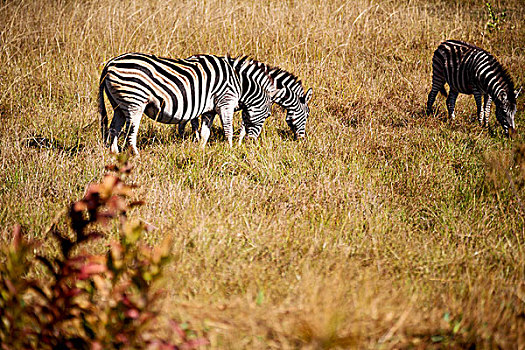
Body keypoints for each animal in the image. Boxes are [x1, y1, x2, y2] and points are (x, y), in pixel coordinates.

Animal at [99, 53, 278, 154]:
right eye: (268, 115)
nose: (251, 143)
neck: (241, 84)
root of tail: (109, 63)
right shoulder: (225, 102)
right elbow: (228, 129)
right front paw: (230, 149)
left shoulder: (209, 109)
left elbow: (205, 132)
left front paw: (201, 150)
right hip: (134, 102)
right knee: (130, 132)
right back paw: (135, 155)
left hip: (118, 105)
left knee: (114, 129)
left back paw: (114, 154)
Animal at [181, 58, 312, 143]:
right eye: (307, 115)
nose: (302, 140)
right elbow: (246, 126)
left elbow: (245, 126)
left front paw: (240, 143)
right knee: (193, 120)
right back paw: (195, 138)